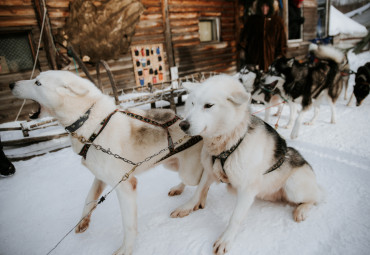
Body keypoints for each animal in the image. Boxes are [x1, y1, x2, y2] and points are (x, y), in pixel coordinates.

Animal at [10, 70, 204, 255]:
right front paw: (83, 221)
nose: (11, 84)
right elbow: (89, 199)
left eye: (37, 82)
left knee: (203, 180)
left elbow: (128, 225)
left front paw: (126, 249)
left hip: (189, 172)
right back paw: (178, 188)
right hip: (170, 164)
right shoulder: (100, 177)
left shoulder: (126, 186)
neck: (90, 124)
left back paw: (192, 203)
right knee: (188, 180)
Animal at [176, 74, 324, 254]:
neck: (229, 141)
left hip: (293, 185)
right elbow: (197, 192)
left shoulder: (247, 187)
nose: (183, 124)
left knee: (315, 199)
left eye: (208, 105)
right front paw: (187, 207)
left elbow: (235, 218)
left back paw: (302, 209)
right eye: (192, 103)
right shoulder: (209, 171)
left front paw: (226, 239)